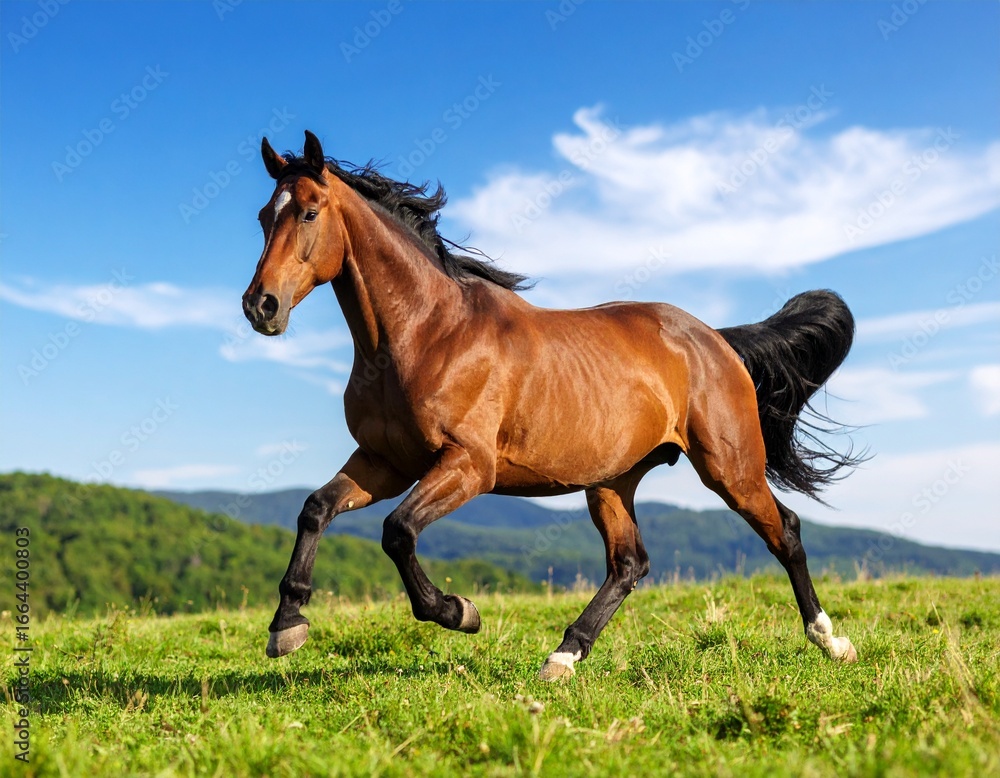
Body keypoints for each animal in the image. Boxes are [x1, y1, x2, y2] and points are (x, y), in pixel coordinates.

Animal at [242, 130, 861, 680]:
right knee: (629, 563)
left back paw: (831, 641)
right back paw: (563, 656)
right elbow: (315, 509)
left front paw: (459, 612)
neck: (427, 334)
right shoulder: (384, 461)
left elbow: (398, 531)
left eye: (310, 213)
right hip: (612, 481)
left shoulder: (469, 466)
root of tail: (716, 340)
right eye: (265, 216)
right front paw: (286, 626)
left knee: (785, 531)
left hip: (730, 468)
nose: (260, 306)